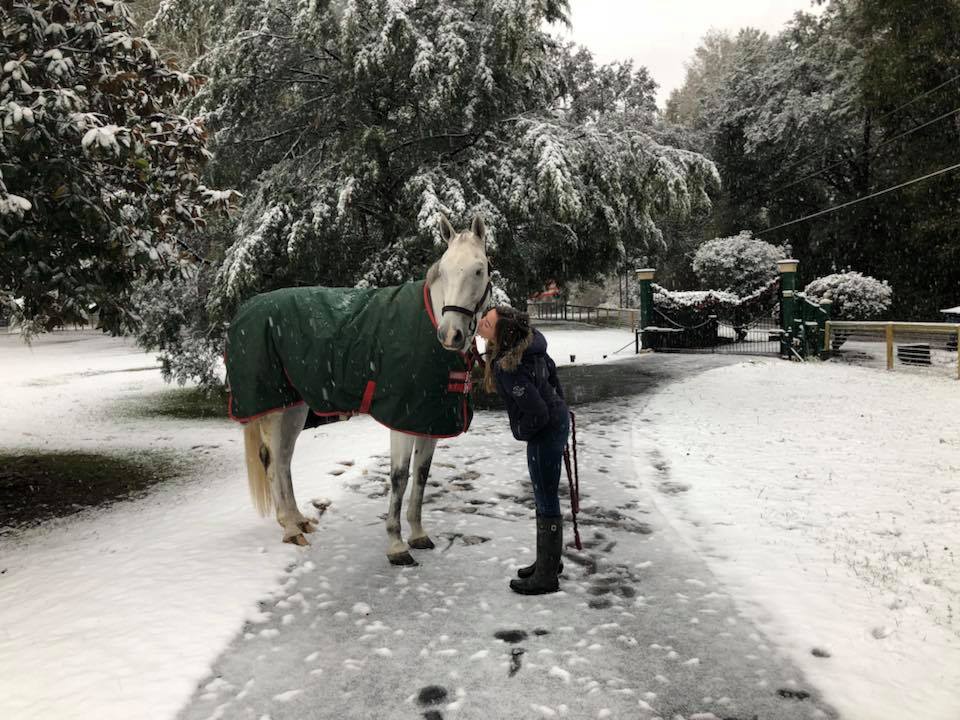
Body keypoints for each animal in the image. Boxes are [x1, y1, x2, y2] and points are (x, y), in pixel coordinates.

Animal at [227, 215, 490, 566]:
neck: (429, 318)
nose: (451, 334)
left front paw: (418, 534)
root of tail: (245, 309)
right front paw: (396, 545)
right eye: (445, 269)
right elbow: (399, 478)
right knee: (271, 460)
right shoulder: (402, 419)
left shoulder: (428, 421)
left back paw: (298, 520)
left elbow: (421, 475)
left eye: (478, 270)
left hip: (294, 407)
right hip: (273, 408)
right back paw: (290, 528)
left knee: (283, 459)